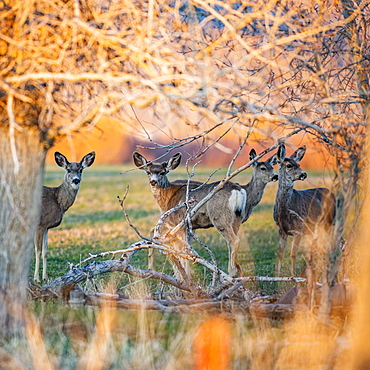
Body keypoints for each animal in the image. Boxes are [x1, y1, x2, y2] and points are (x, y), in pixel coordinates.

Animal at [34, 152, 96, 282]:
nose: (76, 180)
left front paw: (45, 278)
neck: (58, 201)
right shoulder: (40, 224)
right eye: (68, 169)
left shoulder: (46, 226)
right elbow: (38, 251)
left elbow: (45, 251)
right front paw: (36, 278)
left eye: (81, 169)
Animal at [133, 149, 278, 276]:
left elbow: (181, 249)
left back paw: (230, 274)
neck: (168, 197)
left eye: (163, 172)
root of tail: (238, 190)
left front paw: (184, 275)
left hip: (219, 217)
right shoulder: (188, 226)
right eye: (148, 172)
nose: (153, 182)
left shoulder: (178, 222)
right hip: (236, 218)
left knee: (234, 241)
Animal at [274, 144, 336, 306]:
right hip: (315, 228)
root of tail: (332, 192)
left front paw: (293, 279)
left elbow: (293, 253)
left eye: (299, 164)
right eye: (289, 165)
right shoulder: (281, 229)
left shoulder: (299, 228)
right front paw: (276, 280)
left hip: (329, 221)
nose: (304, 174)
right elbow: (280, 253)